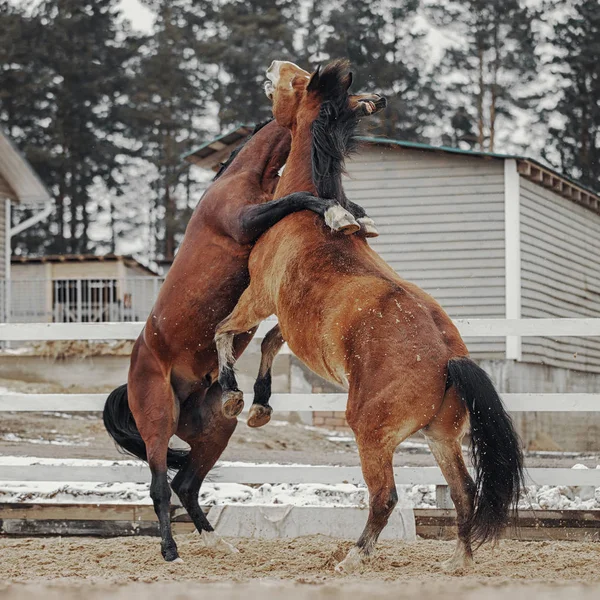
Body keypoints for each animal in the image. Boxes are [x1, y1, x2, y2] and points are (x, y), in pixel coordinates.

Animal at [103, 86, 384, 560]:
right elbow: (295, 200)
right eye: (347, 96)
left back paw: (219, 543)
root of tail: (132, 374)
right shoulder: (248, 221)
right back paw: (170, 551)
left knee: (186, 484)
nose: (378, 99)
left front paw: (357, 214)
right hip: (158, 422)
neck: (243, 178)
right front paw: (340, 214)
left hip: (215, 431)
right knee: (159, 486)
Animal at [216, 59, 524, 572]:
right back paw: (457, 562)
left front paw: (232, 397)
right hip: (442, 438)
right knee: (463, 493)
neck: (304, 215)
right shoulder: (290, 318)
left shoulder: (258, 296)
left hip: (372, 436)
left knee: (386, 497)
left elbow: (226, 332)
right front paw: (259, 405)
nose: (275, 66)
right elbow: (271, 341)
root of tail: (450, 361)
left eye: (299, 81)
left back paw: (353, 558)